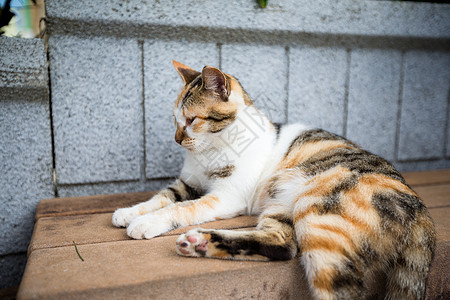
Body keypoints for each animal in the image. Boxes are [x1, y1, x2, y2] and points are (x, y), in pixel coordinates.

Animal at [112, 61, 436, 300]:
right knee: (282, 245)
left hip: (318, 209)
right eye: (175, 120)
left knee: (336, 285)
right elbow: (162, 196)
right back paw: (199, 243)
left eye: (192, 120)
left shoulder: (227, 195)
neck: (210, 151)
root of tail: (421, 212)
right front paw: (128, 213)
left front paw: (145, 223)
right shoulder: (187, 183)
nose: (177, 140)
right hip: (282, 203)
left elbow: (181, 208)